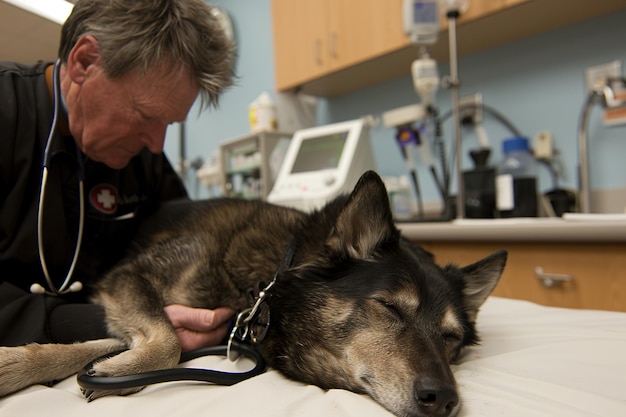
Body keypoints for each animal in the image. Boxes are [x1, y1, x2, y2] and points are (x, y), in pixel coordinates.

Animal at [0, 170, 504, 416]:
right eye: (389, 308)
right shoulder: (128, 280)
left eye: (452, 339)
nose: (444, 400)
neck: (263, 287)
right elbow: (162, 341)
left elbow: (117, 345)